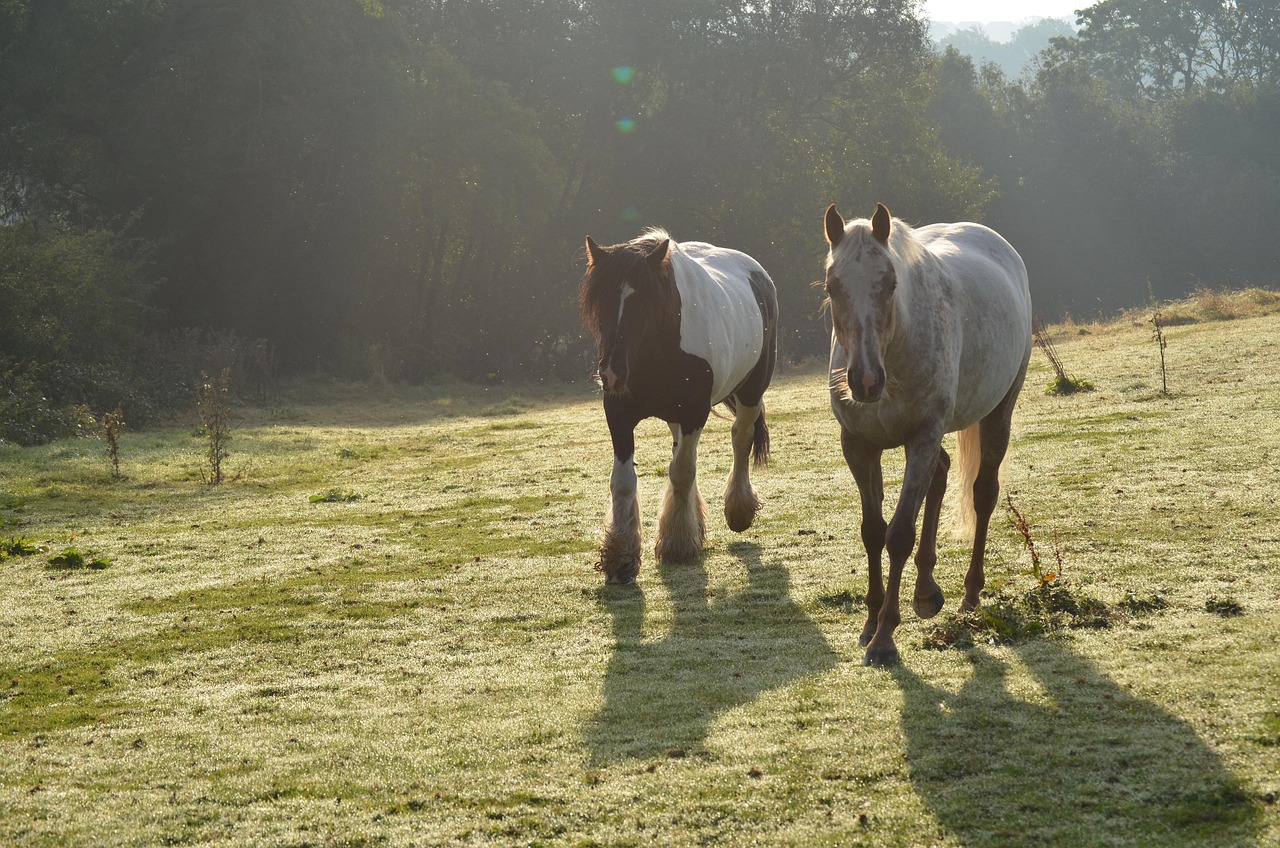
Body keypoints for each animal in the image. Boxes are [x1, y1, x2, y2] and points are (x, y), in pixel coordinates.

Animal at [579, 229, 778, 584]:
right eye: (600, 300)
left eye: (644, 302)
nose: (611, 372)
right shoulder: (619, 414)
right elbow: (624, 481)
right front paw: (620, 556)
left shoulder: (693, 413)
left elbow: (682, 472)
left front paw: (678, 544)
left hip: (751, 392)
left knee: (741, 438)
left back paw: (738, 508)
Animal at [822, 203, 1032, 665]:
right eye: (832, 286)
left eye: (890, 283)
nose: (865, 381)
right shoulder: (859, 446)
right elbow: (872, 531)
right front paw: (870, 621)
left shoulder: (922, 437)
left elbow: (899, 534)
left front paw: (884, 636)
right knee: (941, 474)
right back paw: (925, 592)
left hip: (997, 414)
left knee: (982, 493)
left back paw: (969, 593)